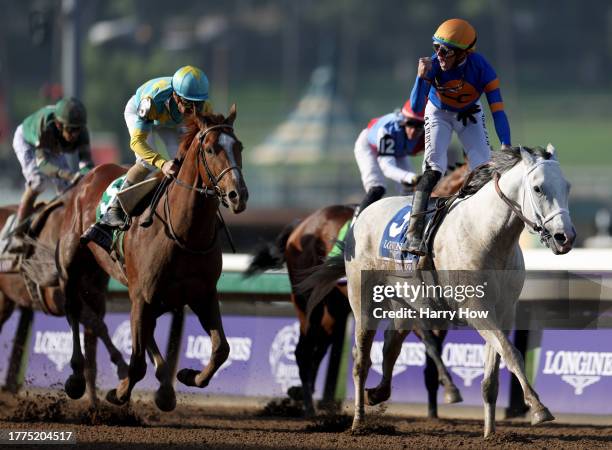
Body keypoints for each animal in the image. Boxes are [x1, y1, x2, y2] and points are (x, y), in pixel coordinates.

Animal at [0, 200, 128, 404]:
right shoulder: (60, 297)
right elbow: (98, 326)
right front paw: (122, 367)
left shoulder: (97, 299)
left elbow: (92, 348)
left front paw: (95, 404)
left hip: (4, 301)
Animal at [57, 105, 247, 412]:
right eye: (209, 149)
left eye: (238, 146)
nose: (238, 195)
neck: (184, 232)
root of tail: (90, 175)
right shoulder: (142, 295)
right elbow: (135, 364)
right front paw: (118, 392)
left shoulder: (203, 294)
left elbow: (221, 349)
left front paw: (187, 374)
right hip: (74, 264)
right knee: (74, 309)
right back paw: (76, 377)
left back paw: (165, 387)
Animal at [246, 166, 466, 418]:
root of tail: (302, 225)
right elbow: (430, 343)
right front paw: (450, 389)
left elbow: (433, 351)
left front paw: (434, 407)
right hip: (307, 300)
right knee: (303, 351)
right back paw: (309, 407)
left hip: (335, 307)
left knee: (318, 348)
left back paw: (303, 394)